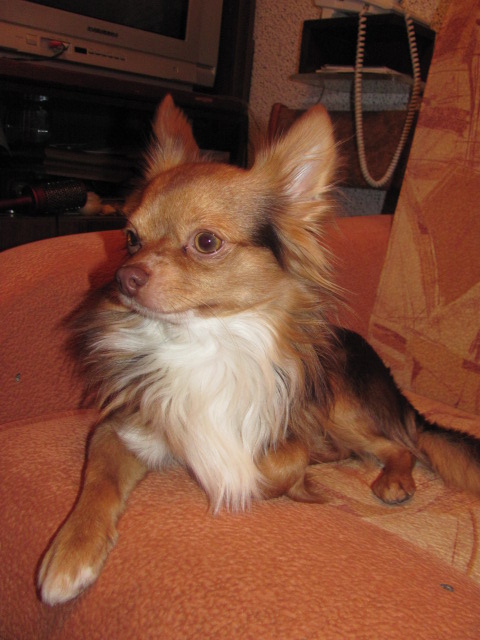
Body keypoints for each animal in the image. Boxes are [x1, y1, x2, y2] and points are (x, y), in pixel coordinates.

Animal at [38, 95, 480, 605]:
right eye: (130, 238)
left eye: (206, 242)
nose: (124, 277)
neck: (204, 340)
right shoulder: (120, 429)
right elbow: (97, 485)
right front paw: (70, 554)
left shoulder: (280, 432)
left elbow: (272, 463)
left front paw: (283, 479)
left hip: (339, 404)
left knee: (402, 445)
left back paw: (393, 479)